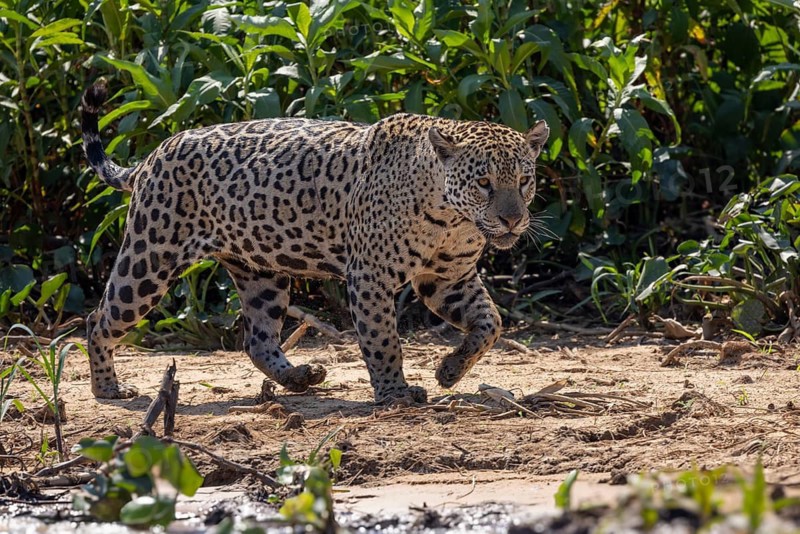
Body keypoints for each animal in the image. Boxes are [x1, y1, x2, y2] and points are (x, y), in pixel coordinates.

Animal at [80, 82, 550, 405]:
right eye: (484, 183)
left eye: (524, 180)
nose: (512, 219)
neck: (452, 219)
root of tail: (153, 154)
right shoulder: (371, 276)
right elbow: (383, 341)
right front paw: (395, 394)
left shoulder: (447, 277)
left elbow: (490, 323)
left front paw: (450, 370)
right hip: (151, 256)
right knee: (99, 318)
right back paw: (108, 388)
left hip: (260, 271)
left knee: (257, 338)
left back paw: (301, 377)